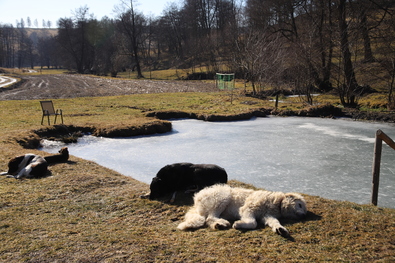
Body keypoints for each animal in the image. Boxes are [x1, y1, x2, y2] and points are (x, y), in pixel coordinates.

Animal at [177, 185, 310, 238]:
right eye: (299, 205)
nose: (304, 216)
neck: (276, 203)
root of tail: (196, 202)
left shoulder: (267, 216)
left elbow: (274, 222)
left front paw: (280, 229)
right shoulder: (248, 208)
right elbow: (253, 222)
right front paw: (239, 224)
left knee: (209, 220)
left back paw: (219, 225)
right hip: (222, 196)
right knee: (209, 217)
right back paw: (223, 223)